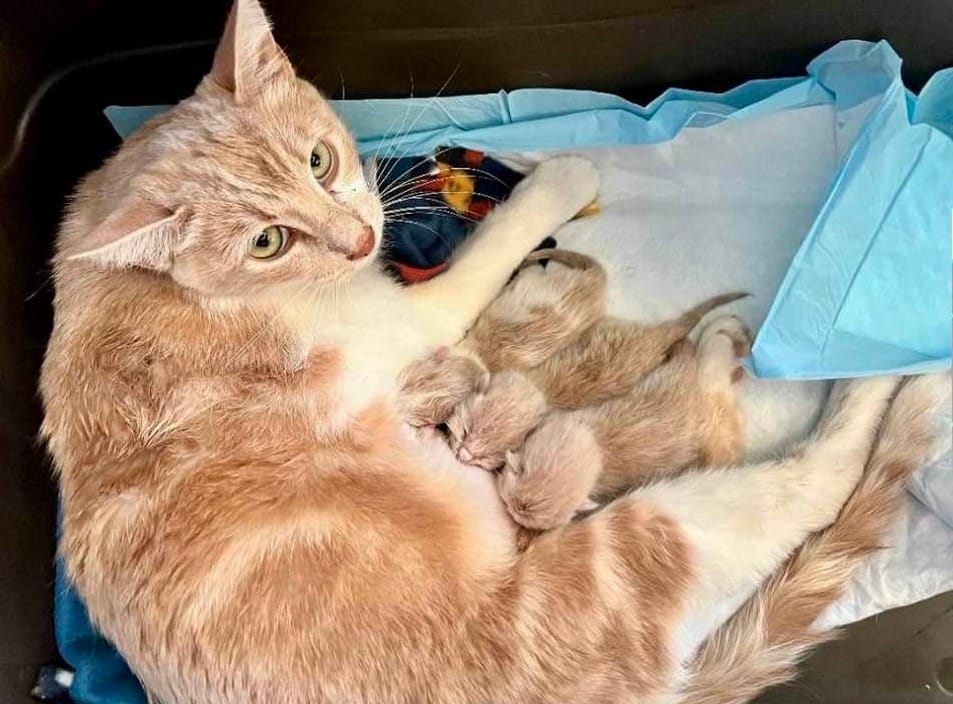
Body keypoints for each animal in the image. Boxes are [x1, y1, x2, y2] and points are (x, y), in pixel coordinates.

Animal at [41, 1, 948, 704]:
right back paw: (880, 380)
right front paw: (556, 182)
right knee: (816, 479)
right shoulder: (417, 318)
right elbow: (493, 247)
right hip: (640, 542)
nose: (360, 239)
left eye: (318, 159)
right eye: (267, 241)